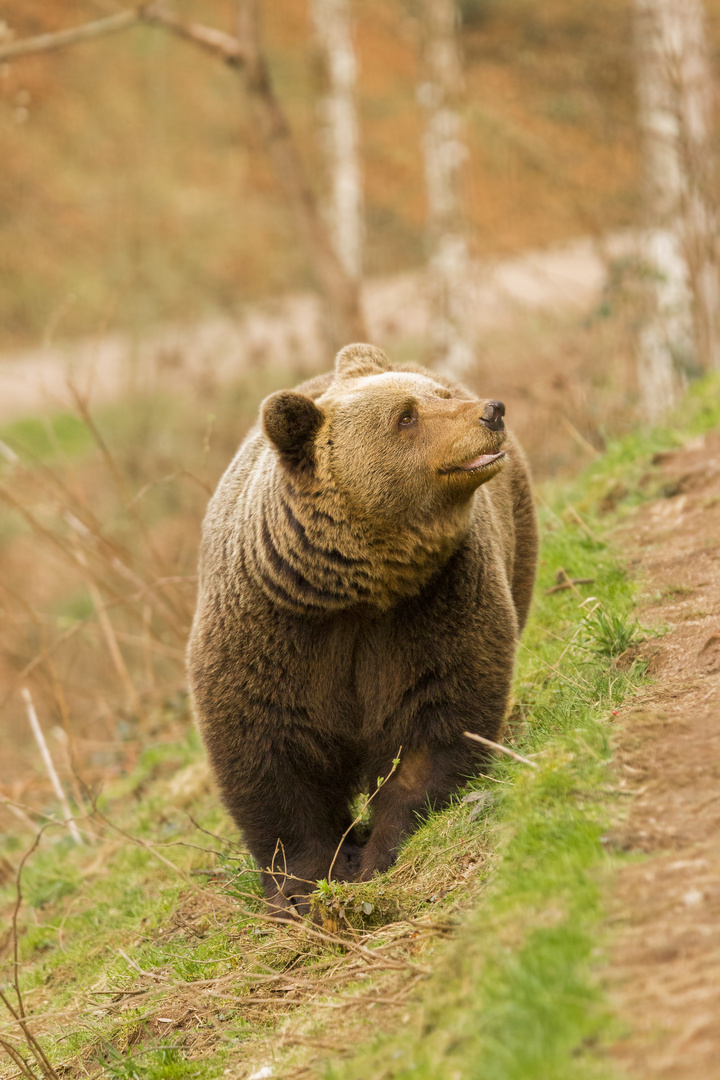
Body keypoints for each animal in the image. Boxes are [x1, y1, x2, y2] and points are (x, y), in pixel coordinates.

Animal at [188, 341, 537, 915]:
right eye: (406, 416)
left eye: (439, 396)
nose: (491, 411)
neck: (355, 588)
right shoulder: (272, 629)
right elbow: (268, 754)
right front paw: (305, 884)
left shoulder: (430, 606)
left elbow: (434, 720)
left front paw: (382, 852)